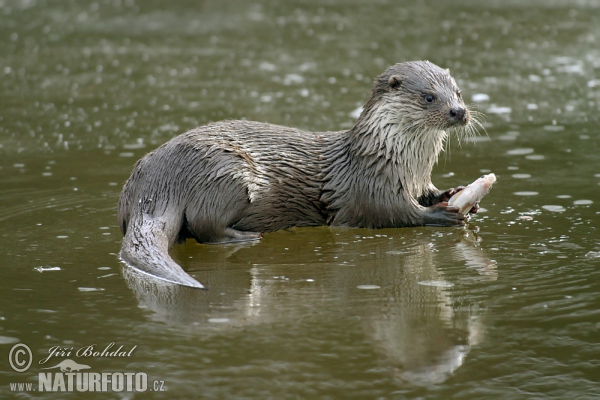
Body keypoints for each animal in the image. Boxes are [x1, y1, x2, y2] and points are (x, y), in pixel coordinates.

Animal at [117, 61, 482, 290]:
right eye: (429, 97)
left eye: (459, 93)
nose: (459, 112)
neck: (398, 160)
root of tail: (153, 184)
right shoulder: (369, 186)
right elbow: (392, 212)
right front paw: (441, 214)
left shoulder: (416, 180)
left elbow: (427, 194)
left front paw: (455, 195)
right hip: (225, 172)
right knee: (206, 226)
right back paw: (244, 237)